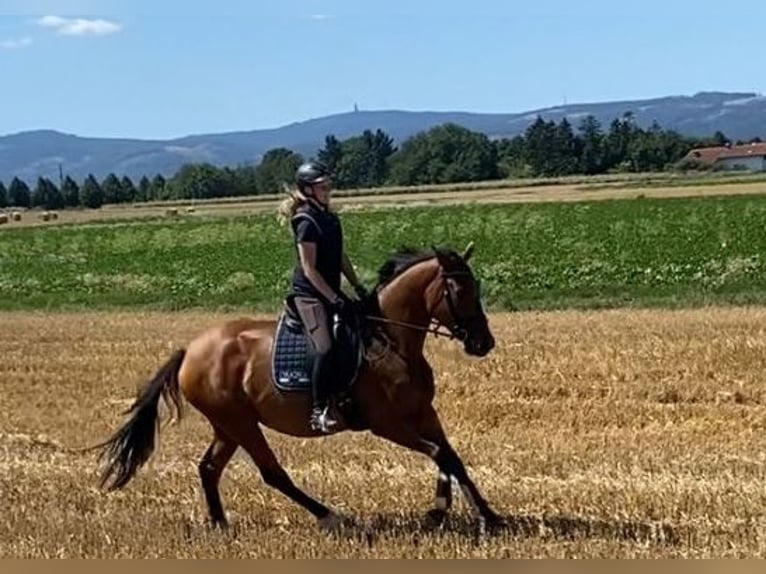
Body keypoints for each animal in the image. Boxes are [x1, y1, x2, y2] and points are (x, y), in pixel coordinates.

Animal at [96, 242, 508, 536]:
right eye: (458, 289)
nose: (483, 343)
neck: (391, 340)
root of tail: (189, 352)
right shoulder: (386, 423)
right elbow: (439, 455)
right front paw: (439, 512)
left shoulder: (423, 412)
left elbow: (451, 457)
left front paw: (487, 517)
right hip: (240, 423)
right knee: (273, 473)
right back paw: (332, 517)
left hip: (227, 425)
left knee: (209, 468)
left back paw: (219, 524)